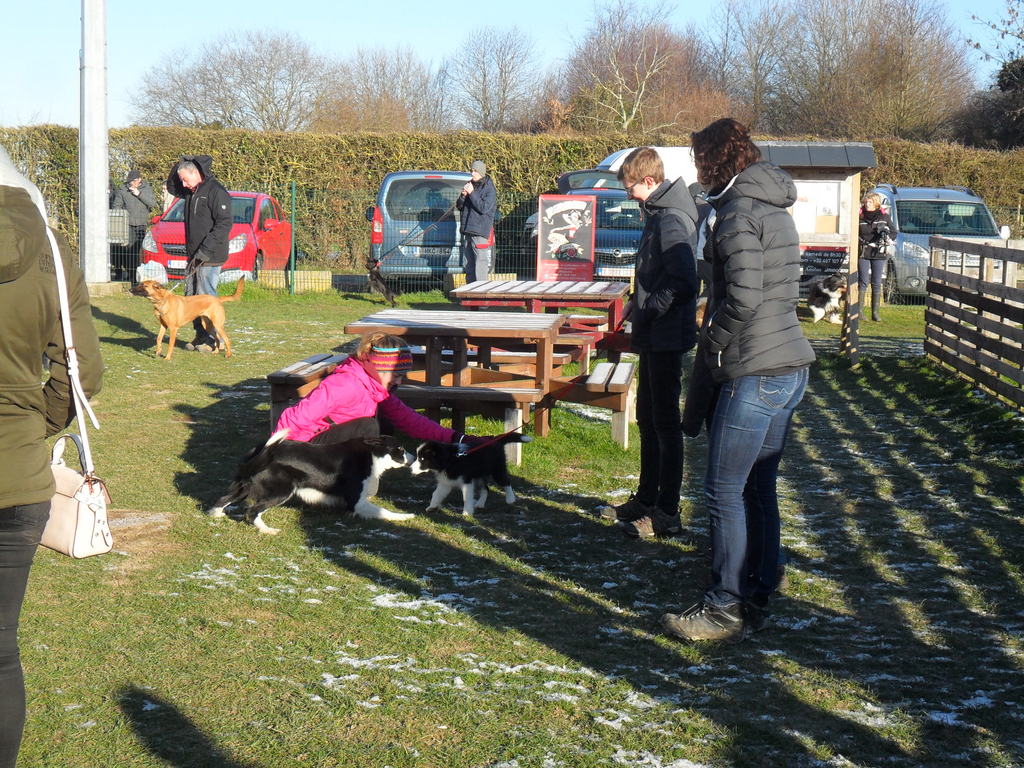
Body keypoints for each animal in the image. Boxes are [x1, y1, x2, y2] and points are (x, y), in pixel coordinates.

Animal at [207, 430, 414, 534]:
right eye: (400, 449)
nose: (413, 459)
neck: (372, 454)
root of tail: (260, 452)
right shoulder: (356, 502)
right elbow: (385, 511)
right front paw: (405, 516)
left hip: (244, 487)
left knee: (222, 499)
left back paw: (216, 515)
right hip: (281, 491)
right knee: (252, 511)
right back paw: (268, 530)